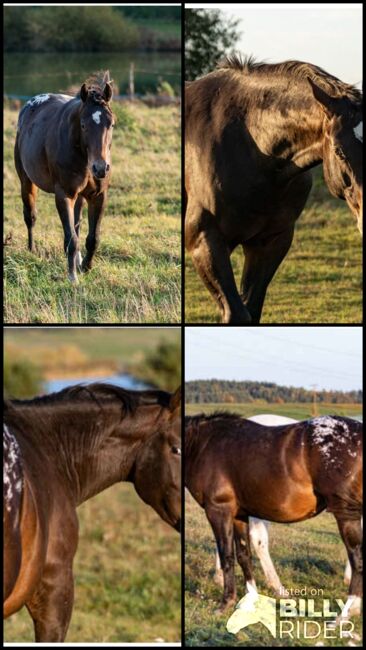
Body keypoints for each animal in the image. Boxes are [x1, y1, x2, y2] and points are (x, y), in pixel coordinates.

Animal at [14, 72, 114, 282]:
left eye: (111, 124)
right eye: (83, 125)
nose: (100, 168)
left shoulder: (98, 196)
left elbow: (93, 238)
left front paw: (85, 267)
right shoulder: (64, 195)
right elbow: (71, 239)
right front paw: (72, 277)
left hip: (80, 196)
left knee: (77, 223)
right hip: (26, 182)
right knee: (30, 216)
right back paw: (31, 250)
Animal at [186, 410, 364, 616]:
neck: (203, 443)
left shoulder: (219, 510)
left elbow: (228, 554)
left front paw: (227, 602)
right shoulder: (236, 513)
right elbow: (243, 555)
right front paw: (247, 599)